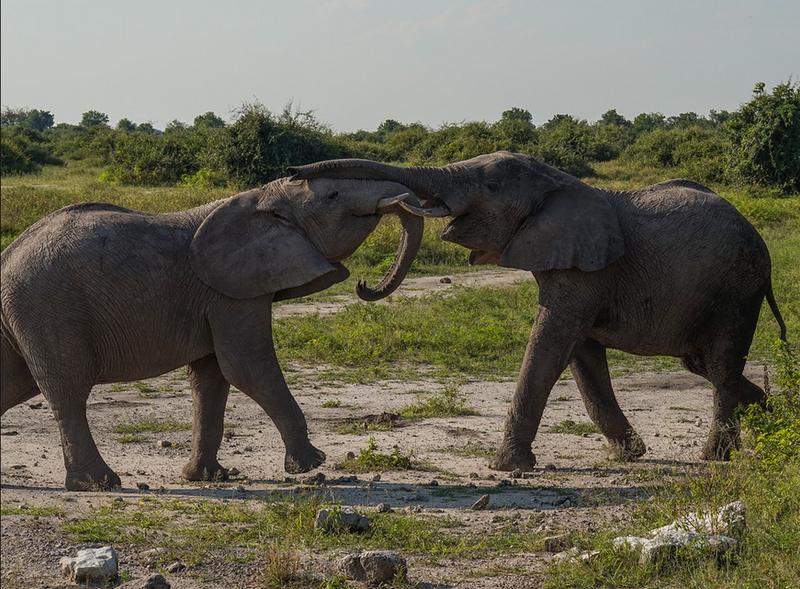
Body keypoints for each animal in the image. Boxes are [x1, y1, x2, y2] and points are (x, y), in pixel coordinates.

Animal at [1, 175, 423, 490]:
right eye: (333, 195)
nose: (364, 284)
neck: (256, 200)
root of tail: (7, 258)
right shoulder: (230, 292)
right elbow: (247, 367)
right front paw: (311, 465)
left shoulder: (217, 295)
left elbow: (212, 378)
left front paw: (206, 477)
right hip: (48, 310)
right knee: (68, 391)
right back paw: (101, 484)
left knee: (18, 384)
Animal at [288, 151, 787, 470]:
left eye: (489, 186)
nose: (292, 172)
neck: (557, 180)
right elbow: (582, 357)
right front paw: (628, 456)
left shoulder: (585, 270)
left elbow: (551, 341)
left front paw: (506, 467)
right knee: (702, 363)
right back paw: (777, 416)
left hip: (737, 287)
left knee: (720, 364)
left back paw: (715, 457)